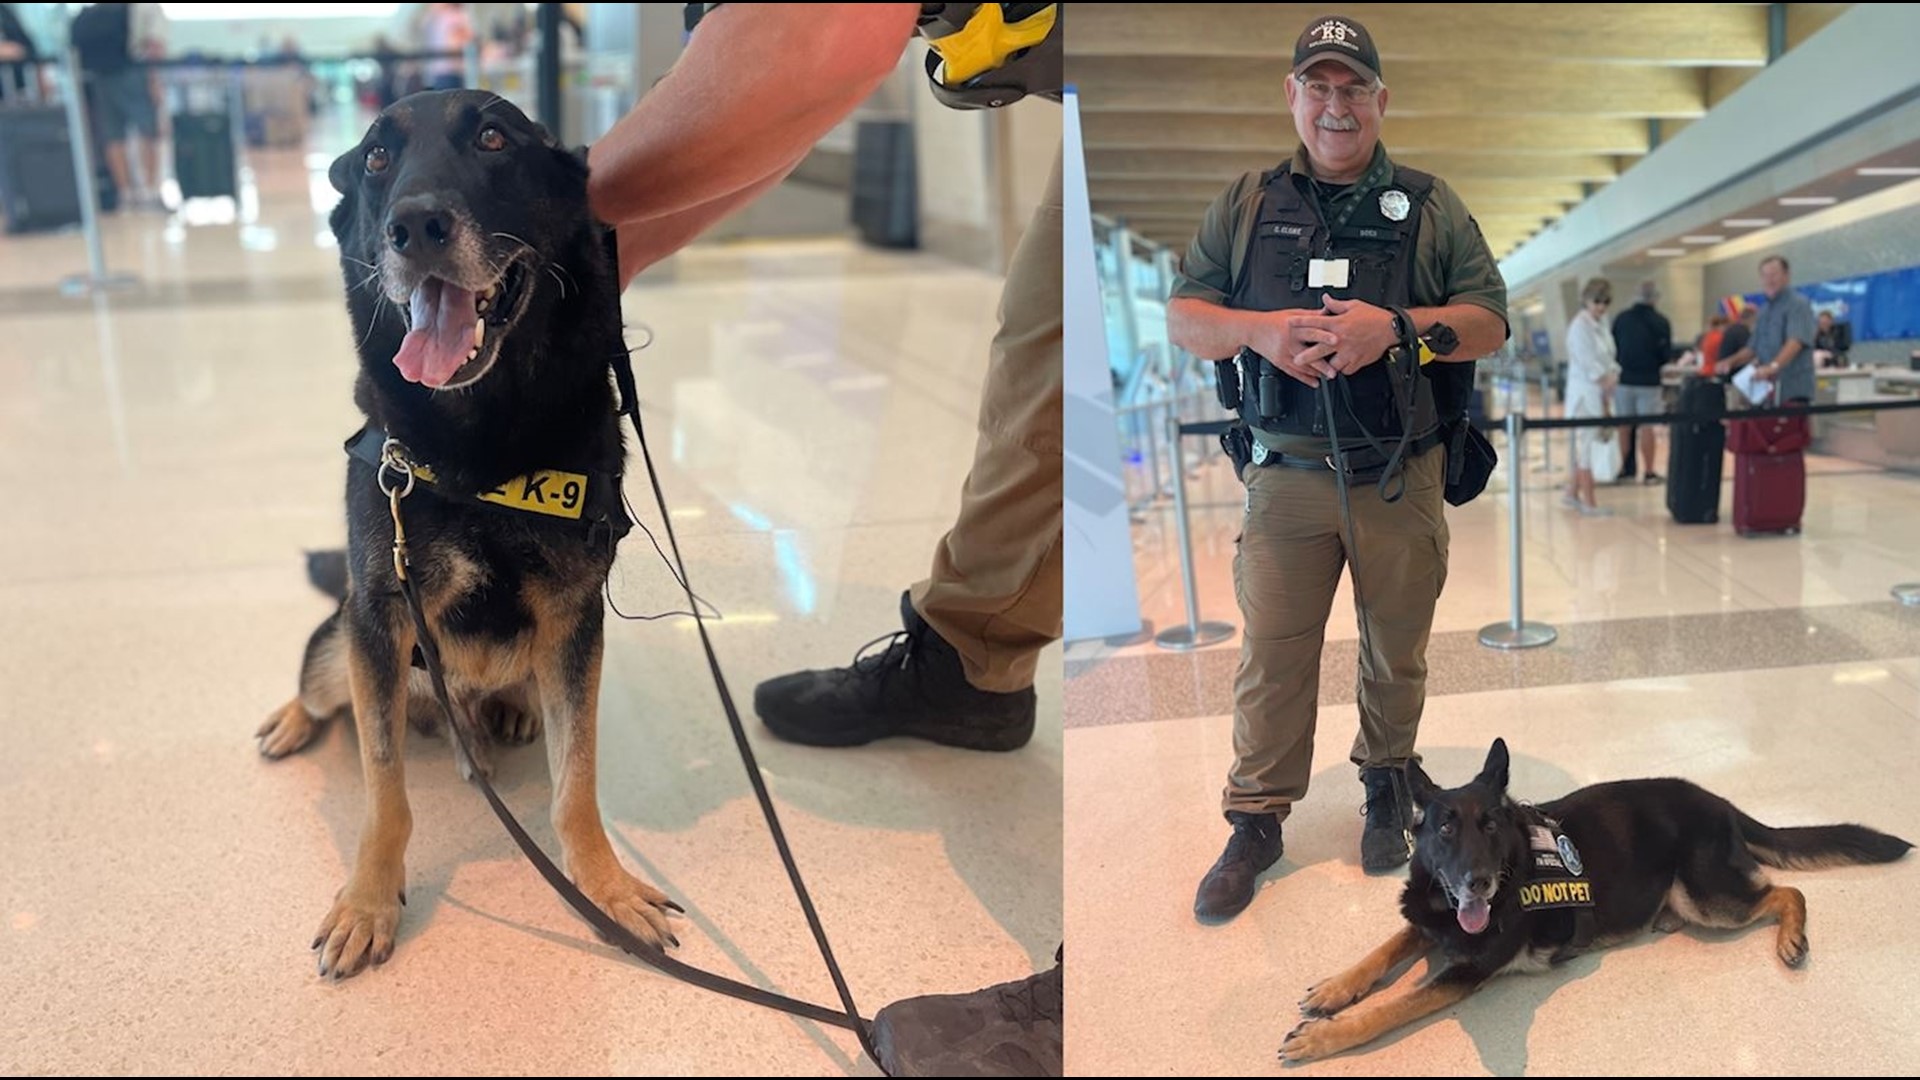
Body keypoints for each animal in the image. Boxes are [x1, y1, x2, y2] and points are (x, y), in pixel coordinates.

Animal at [251, 94, 679, 976]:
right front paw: (369, 901)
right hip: (343, 640)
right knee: (321, 679)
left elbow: (577, 781)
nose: (414, 226)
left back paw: (505, 714)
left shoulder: (576, 621)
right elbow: (383, 790)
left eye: (493, 138)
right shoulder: (380, 617)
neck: (482, 453)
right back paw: (296, 718)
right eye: (376, 159)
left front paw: (603, 886)